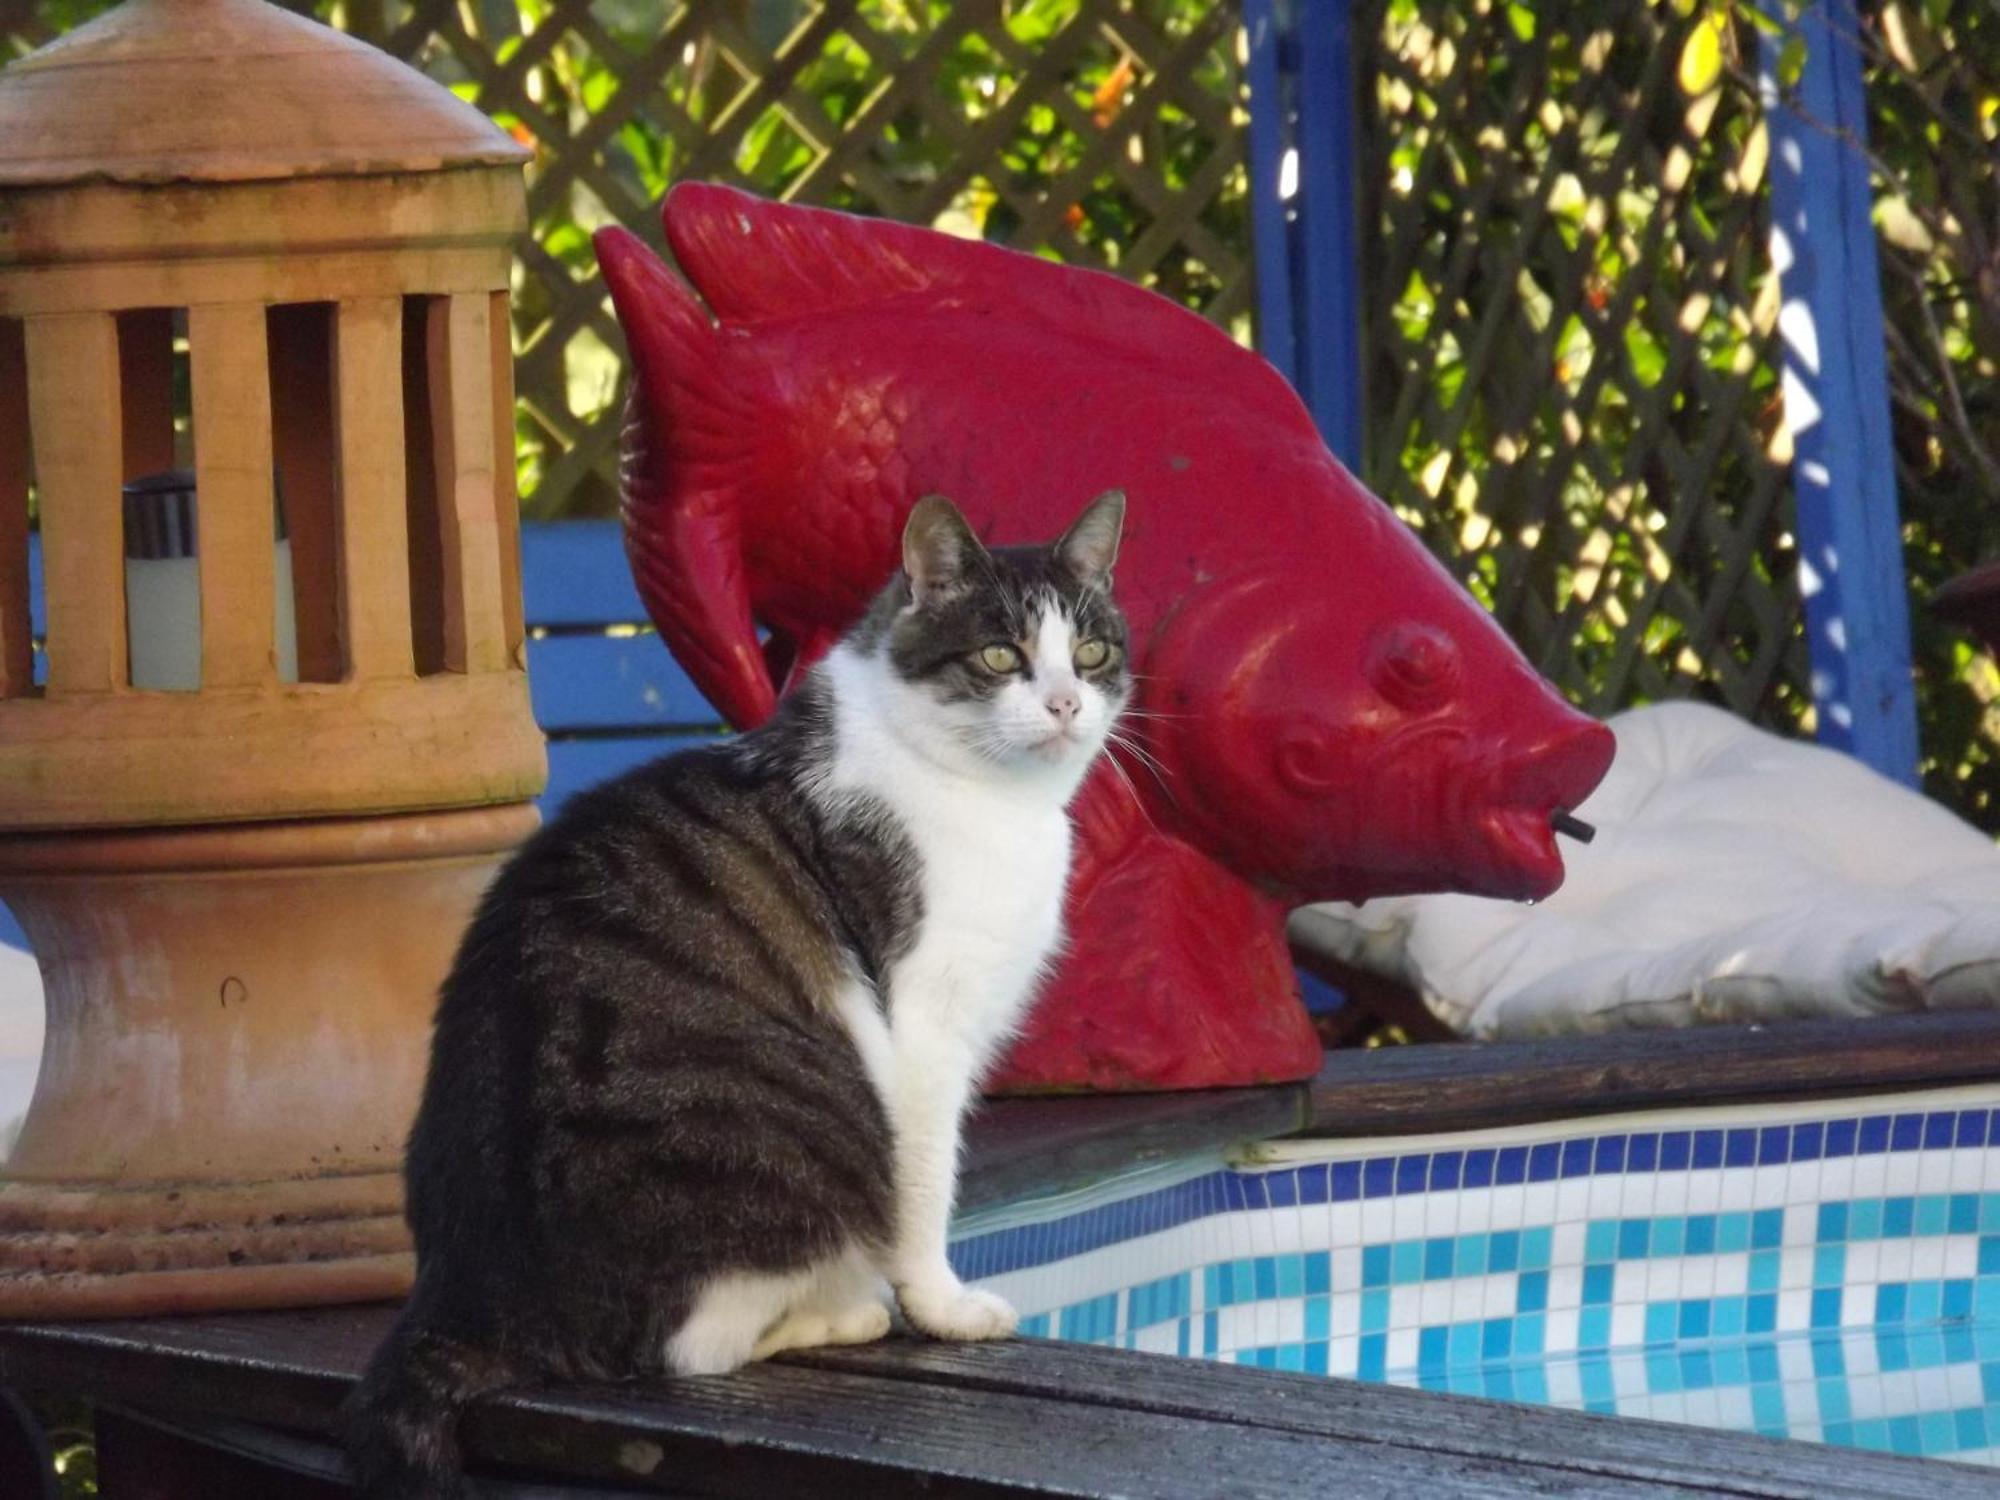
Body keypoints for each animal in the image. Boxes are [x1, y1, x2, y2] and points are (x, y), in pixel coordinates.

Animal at [344, 490, 1128, 1496]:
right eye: (1001, 656)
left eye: (1092, 653)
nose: (1067, 703)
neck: (995, 800)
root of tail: (470, 1297)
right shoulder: (924, 1031)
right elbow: (926, 1189)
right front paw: (944, 1310)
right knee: (684, 1347)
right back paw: (839, 1312)